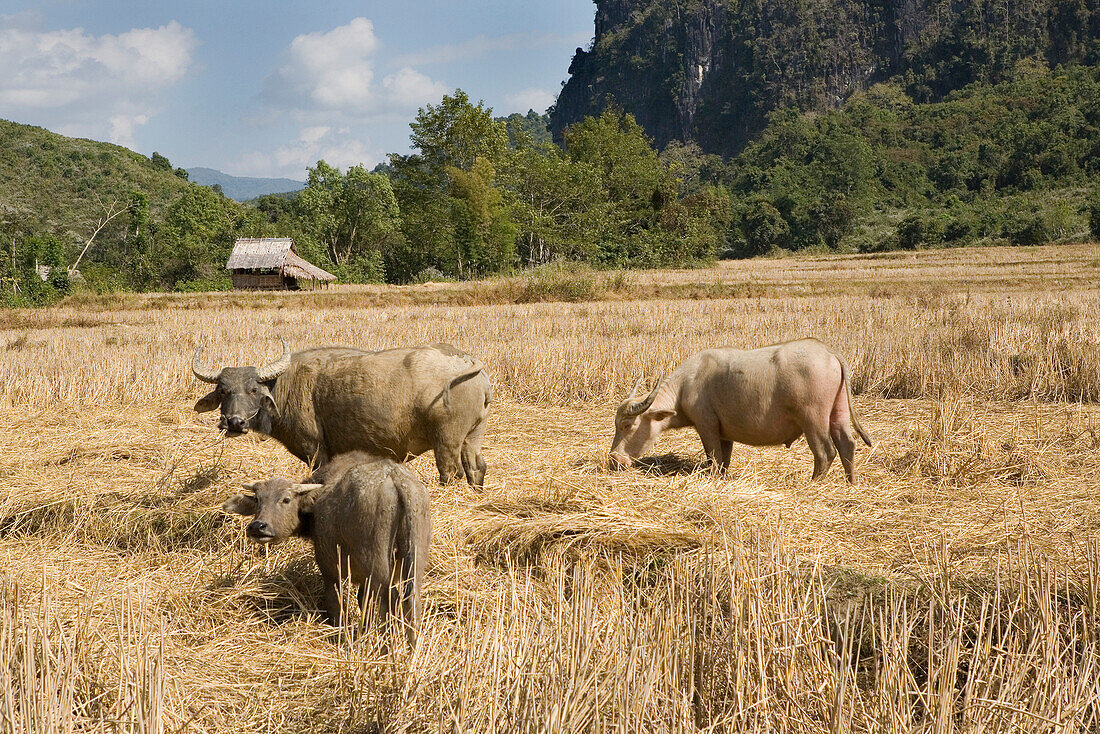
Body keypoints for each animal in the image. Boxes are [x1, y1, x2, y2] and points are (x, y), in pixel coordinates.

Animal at [193, 338, 495, 488]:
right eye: (223, 391)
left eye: (254, 389)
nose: (234, 422)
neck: (286, 385)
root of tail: (468, 361)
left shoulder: (316, 451)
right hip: (472, 436)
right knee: (476, 467)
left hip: (447, 440)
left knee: (451, 472)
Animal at [223, 451, 429, 647]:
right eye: (258, 499)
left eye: (286, 499)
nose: (258, 526)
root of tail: (396, 479)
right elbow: (363, 601)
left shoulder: (329, 569)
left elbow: (335, 604)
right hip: (414, 559)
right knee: (412, 601)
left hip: (377, 566)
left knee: (390, 600)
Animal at [607, 341, 871, 484]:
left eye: (627, 425)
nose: (614, 460)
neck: (685, 386)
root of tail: (830, 353)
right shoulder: (725, 433)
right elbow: (724, 459)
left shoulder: (707, 426)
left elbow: (713, 457)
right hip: (839, 411)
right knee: (847, 444)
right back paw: (851, 483)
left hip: (812, 419)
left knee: (825, 452)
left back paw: (813, 483)